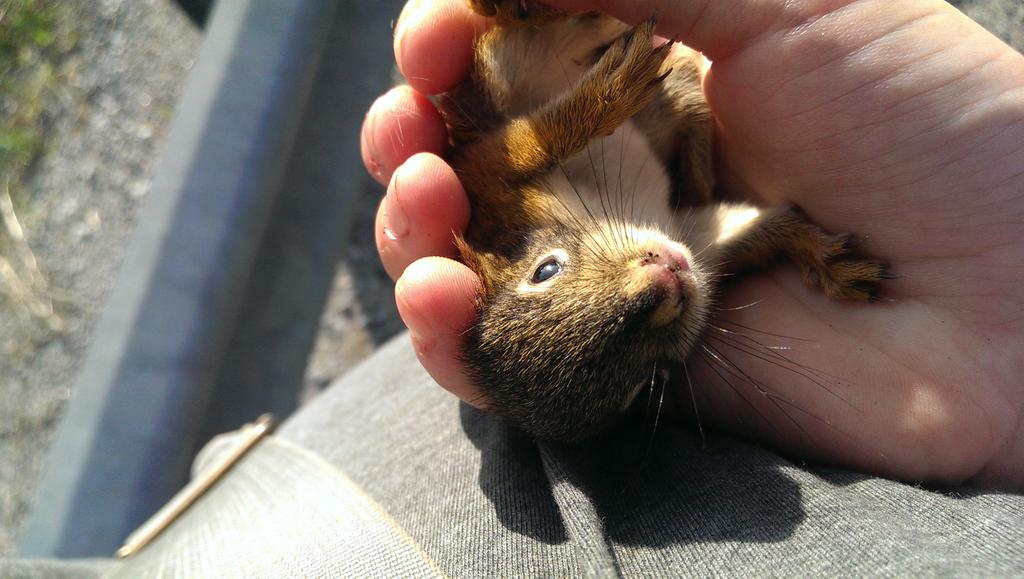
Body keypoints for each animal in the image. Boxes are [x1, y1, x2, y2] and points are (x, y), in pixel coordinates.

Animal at [437, 0, 890, 441]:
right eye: (645, 384)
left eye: (545, 270)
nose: (664, 282)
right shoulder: (701, 242)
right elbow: (756, 227)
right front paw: (818, 254)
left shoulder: (487, 178)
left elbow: (531, 145)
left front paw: (611, 93)